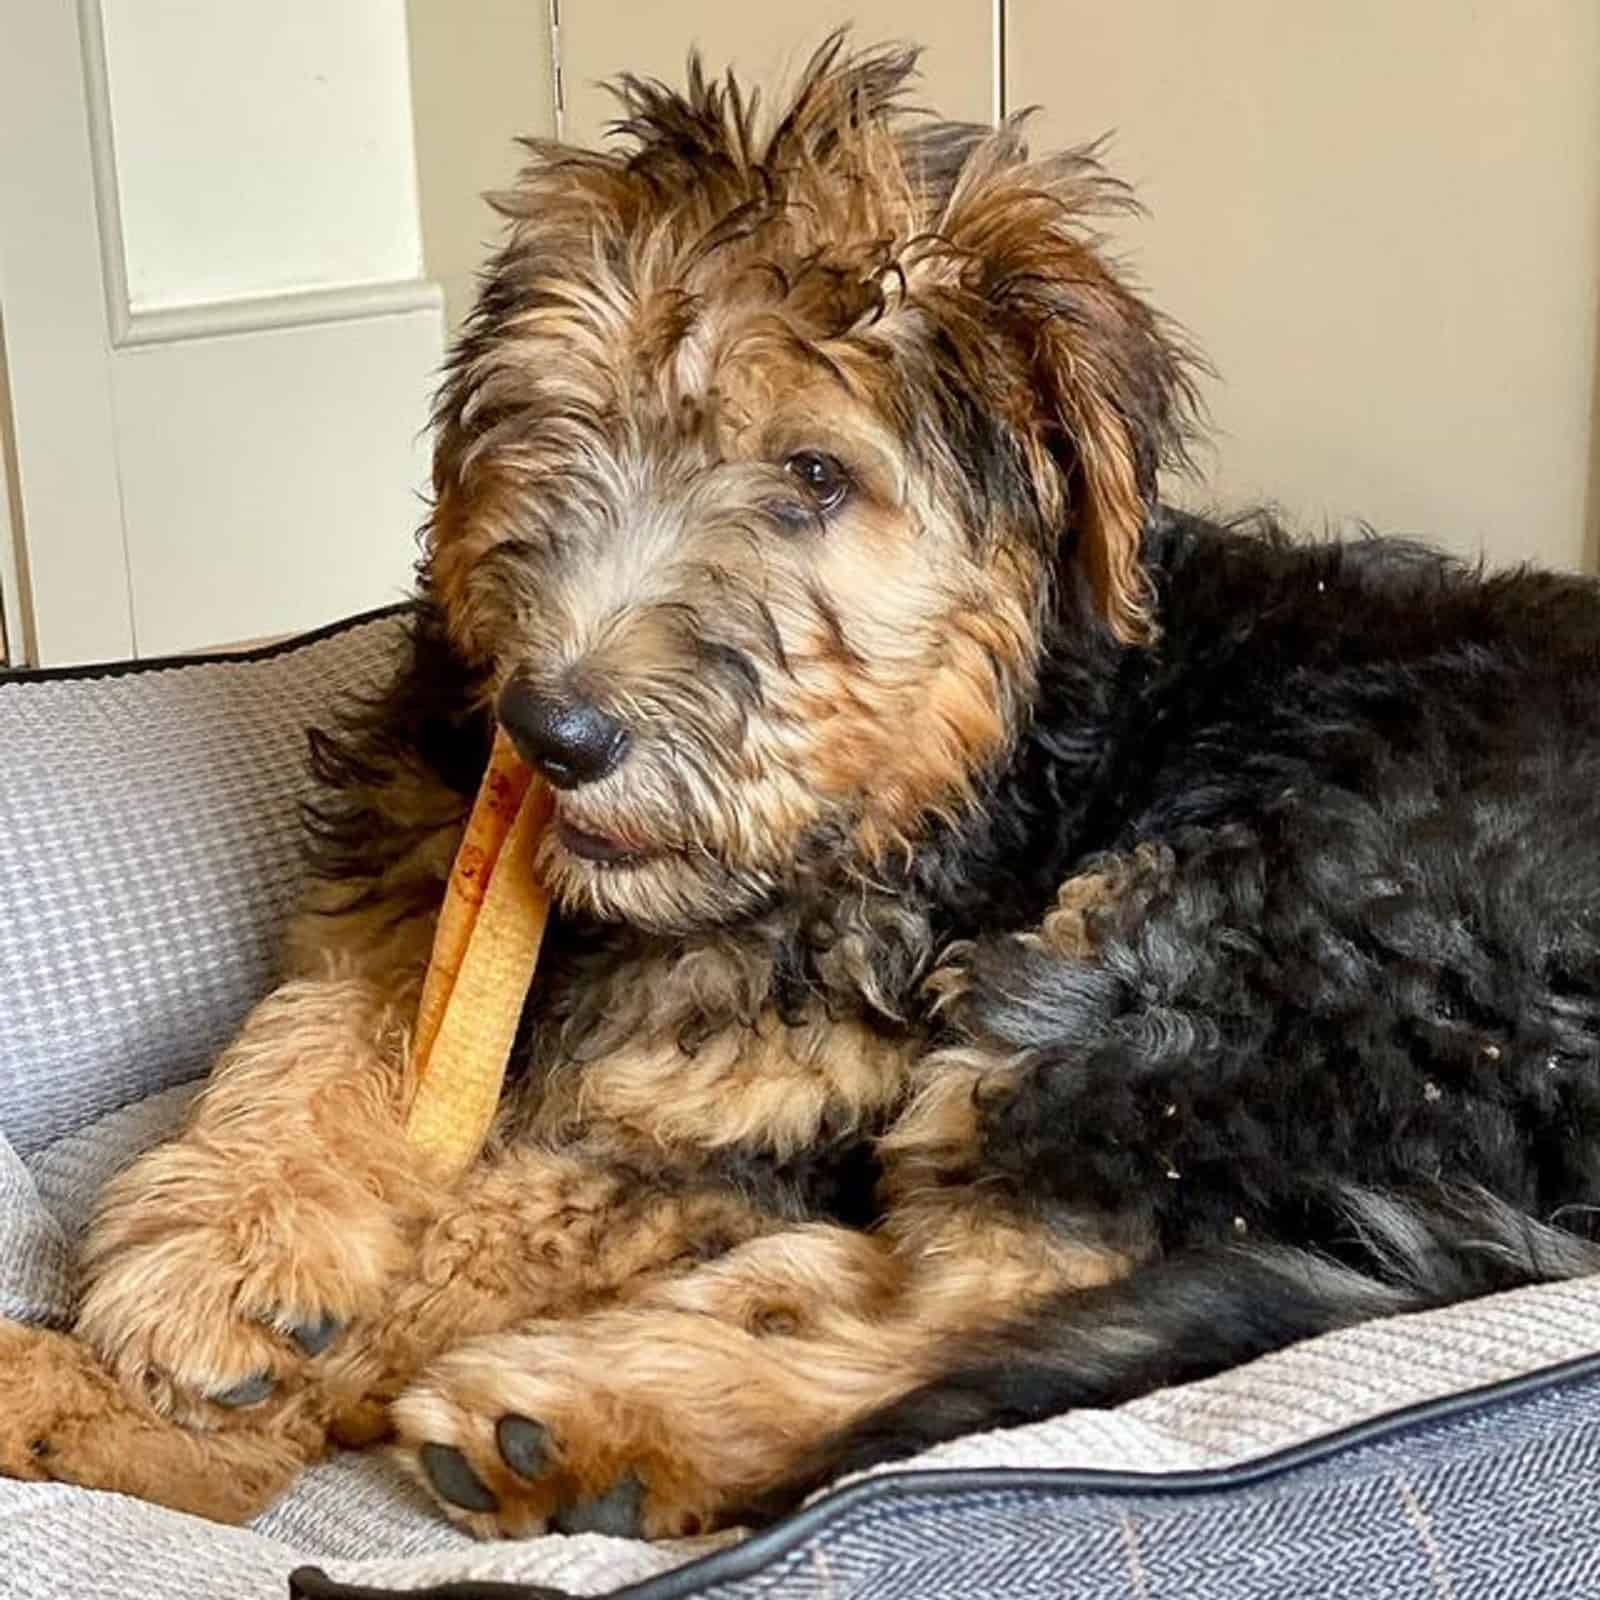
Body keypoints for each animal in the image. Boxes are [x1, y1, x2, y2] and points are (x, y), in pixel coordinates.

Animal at [12, 37, 1600, 1536]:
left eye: (817, 476)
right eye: (548, 429)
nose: (553, 731)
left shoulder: (780, 1122)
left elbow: (507, 1218)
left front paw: (115, 1393)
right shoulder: (418, 879)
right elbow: (323, 1021)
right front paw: (226, 1251)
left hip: (1209, 954)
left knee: (1017, 1311)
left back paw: (598, 1420)